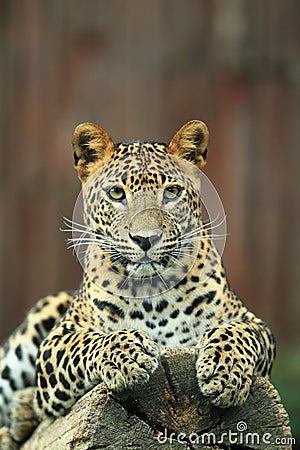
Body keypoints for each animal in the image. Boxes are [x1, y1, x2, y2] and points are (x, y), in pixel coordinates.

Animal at [0, 121, 276, 448]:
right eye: (117, 193)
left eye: (172, 192)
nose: (146, 239)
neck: (152, 294)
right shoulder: (56, 342)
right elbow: (87, 343)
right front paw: (128, 355)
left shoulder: (253, 323)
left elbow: (239, 332)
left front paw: (225, 371)